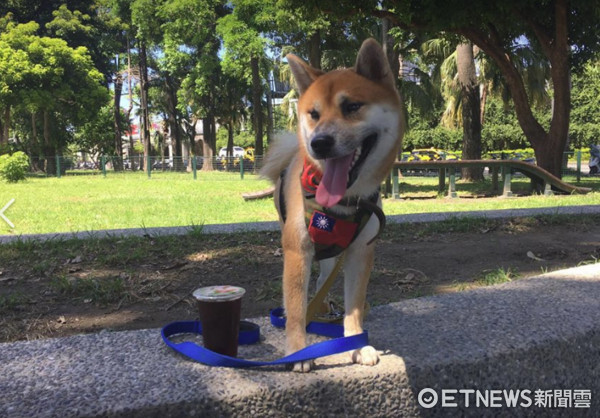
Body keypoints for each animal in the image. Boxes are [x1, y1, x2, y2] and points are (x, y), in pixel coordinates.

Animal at [262, 38, 406, 372]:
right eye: (313, 113)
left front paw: (356, 345)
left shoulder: (361, 251)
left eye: (352, 107)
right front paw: (298, 351)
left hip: (333, 251)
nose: (319, 143)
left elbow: (354, 305)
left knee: (324, 276)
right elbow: (296, 308)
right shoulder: (298, 249)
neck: (343, 202)